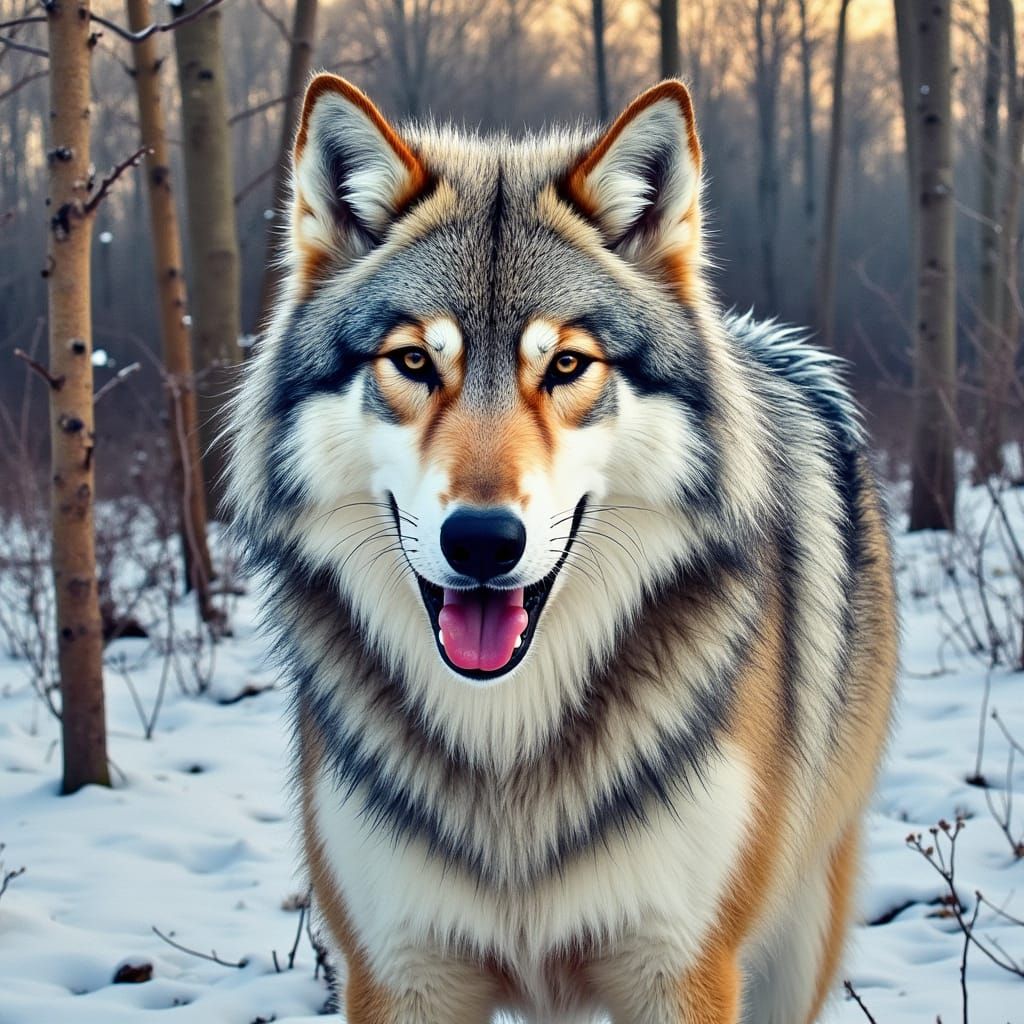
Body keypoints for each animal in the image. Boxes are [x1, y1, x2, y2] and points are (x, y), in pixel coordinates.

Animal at [226, 73, 898, 1024]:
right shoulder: (399, 971)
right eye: (415, 362)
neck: (507, 740)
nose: (481, 541)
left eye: (568, 365)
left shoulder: (681, 971)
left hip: (796, 945)